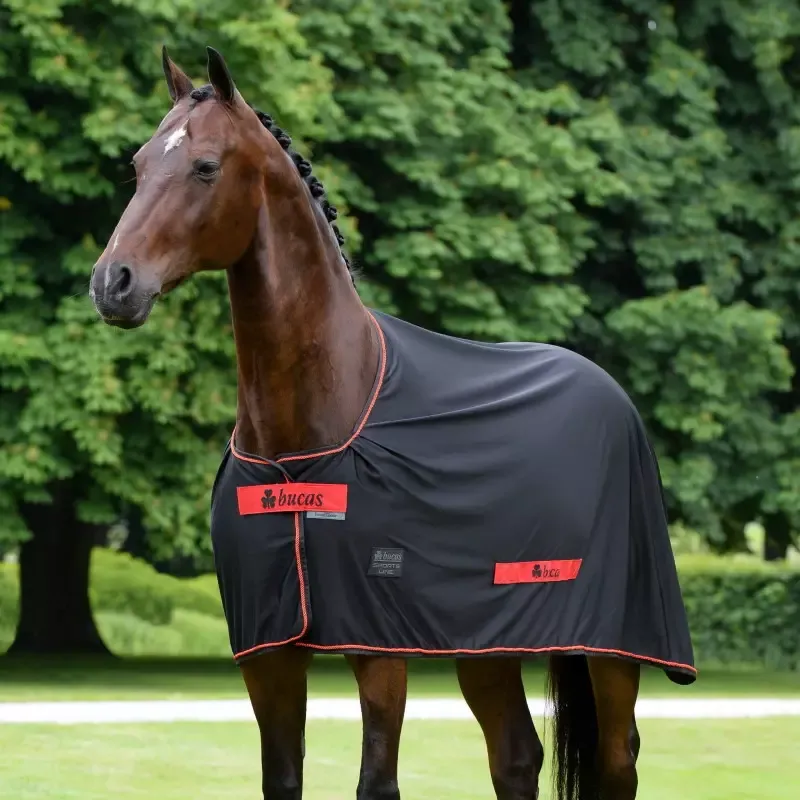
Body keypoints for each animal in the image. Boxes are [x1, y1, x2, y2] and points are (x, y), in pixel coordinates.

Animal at [89, 46, 696, 800]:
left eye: (204, 165)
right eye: (140, 164)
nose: (112, 283)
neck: (314, 425)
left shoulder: (380, 649)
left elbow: (376, 781)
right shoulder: (268, 654)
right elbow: (282, 778)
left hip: (612, 649)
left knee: (617, 760)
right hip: (486, 643)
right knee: (516, 756)